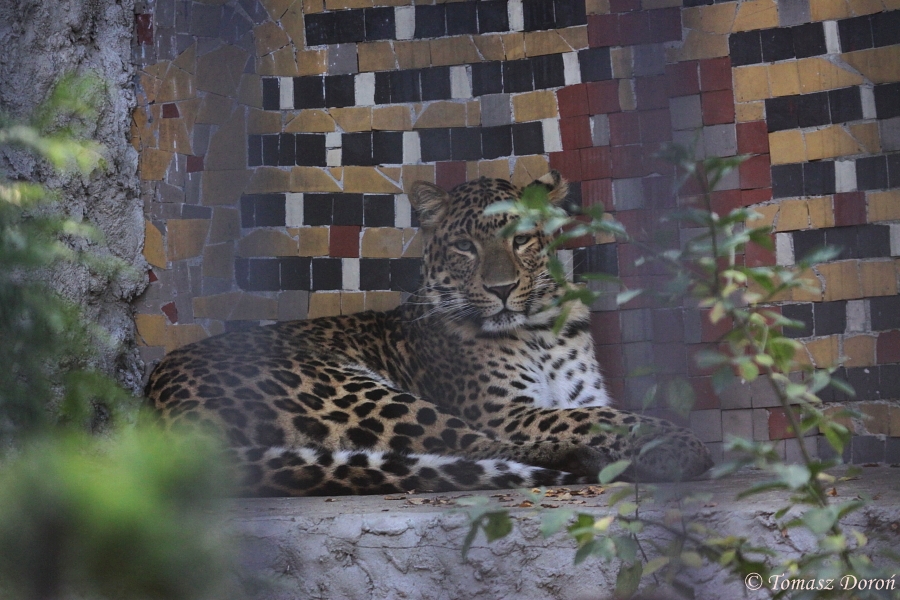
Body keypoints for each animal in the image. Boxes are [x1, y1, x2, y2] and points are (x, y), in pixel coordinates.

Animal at [146, 171, 713, 497]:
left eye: (523, 240)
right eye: (465, 247)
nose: (502, 289)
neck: (536, 330)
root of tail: (154, 412)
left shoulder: (583, 394)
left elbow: (604, 413)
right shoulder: (507, 410)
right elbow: (608, 419)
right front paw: (684, 443)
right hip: (349, 387)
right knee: (475, 447)